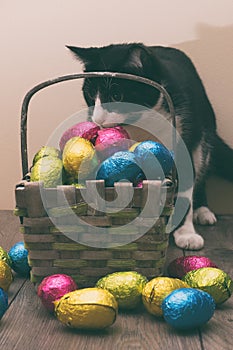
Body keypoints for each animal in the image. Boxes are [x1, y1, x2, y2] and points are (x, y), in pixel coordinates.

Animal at [66, 42, 233, 250]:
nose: (97, 119)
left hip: (203, 133)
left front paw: (186, 234)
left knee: (201, 167)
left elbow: (186, 185)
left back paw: (202, 210)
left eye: (116, 94)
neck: (144, 122)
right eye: (90, 94)